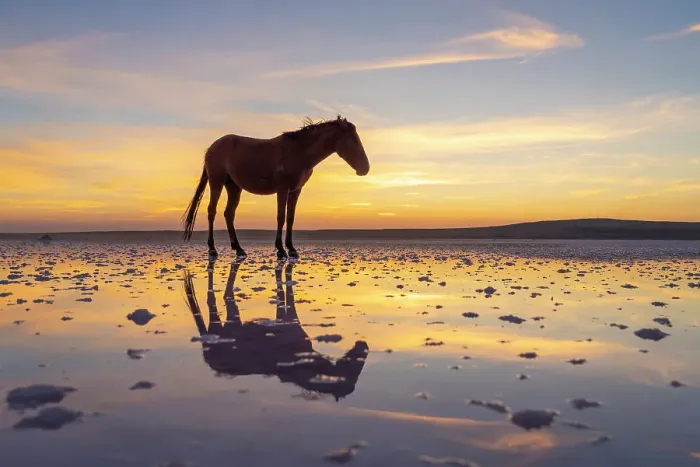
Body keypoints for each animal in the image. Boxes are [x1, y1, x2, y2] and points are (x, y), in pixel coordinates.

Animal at [182, 116, 370, 259]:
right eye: (353, 140)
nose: (365, 169)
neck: (298, 152)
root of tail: (211, 148)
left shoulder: (295, 190)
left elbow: (290, 218)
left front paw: (291, 249)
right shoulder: (283, 189)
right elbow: (280, 217)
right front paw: (280, 249)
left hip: (234, 187)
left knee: (229, 213)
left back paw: (239, 249)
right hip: (217, 182)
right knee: (211, 211)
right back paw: (212, 249)